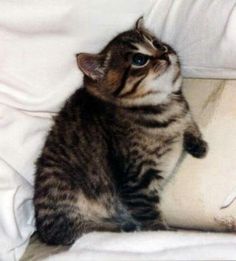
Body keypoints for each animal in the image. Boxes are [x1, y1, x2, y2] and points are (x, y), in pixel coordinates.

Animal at [33, 17, 206, 244]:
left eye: (157, 44)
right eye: (139, 59)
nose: (166, 52)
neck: (162, 104)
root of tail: (42, 232)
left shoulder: (183, 112)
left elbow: (189, 122)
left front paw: (197, 143)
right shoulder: (136, 182)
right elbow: (150, 216)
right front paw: (163, 234)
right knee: (81, 231)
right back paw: (123, 227)